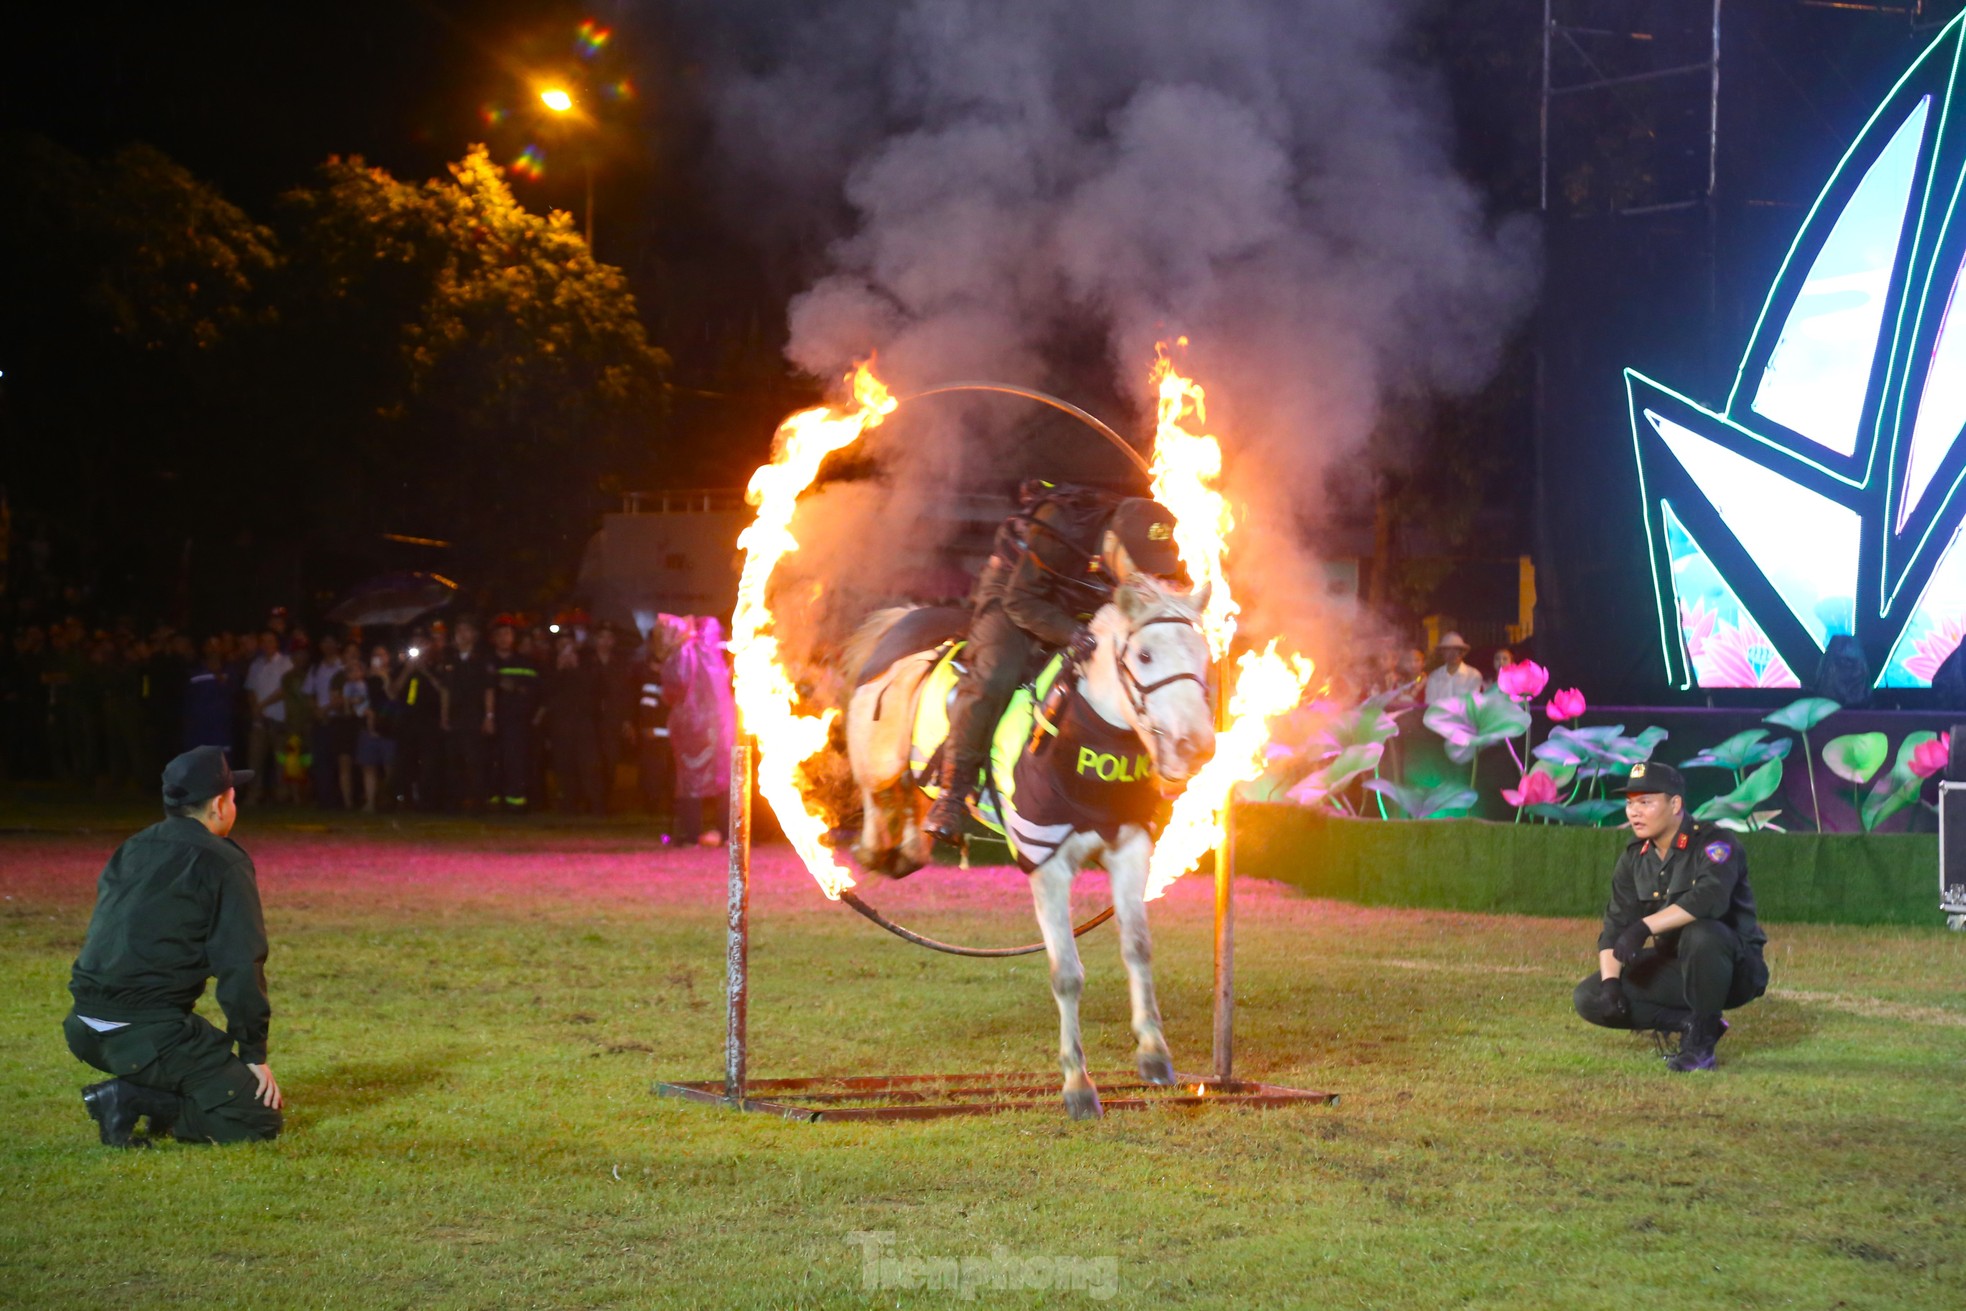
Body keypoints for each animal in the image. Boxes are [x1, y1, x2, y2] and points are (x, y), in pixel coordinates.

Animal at [841, 577, 1211, 1124]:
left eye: (1204, 655)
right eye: (1144, 655)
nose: (1196, 746)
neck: (1084, 742)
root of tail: (906, 620)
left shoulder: (1129, 849)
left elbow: (1137, 948)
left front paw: (1154, 1055)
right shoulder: (1047, 865)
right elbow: (1067, 974)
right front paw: (1078, 1086)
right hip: (877, 760)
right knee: (878, 803)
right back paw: (880, 849)